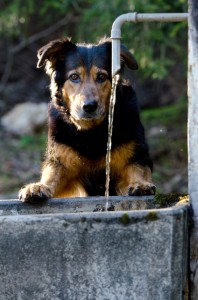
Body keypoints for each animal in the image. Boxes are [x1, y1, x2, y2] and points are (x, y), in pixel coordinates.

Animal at [19, 36, 155, 203]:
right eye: (74, 77)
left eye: (102, 77)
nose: (89, 106)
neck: (91, 132)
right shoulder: (61, 160)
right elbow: (51, 175)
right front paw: (38, 186)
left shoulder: (136, 155)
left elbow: (137, 169)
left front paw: (140, 184)